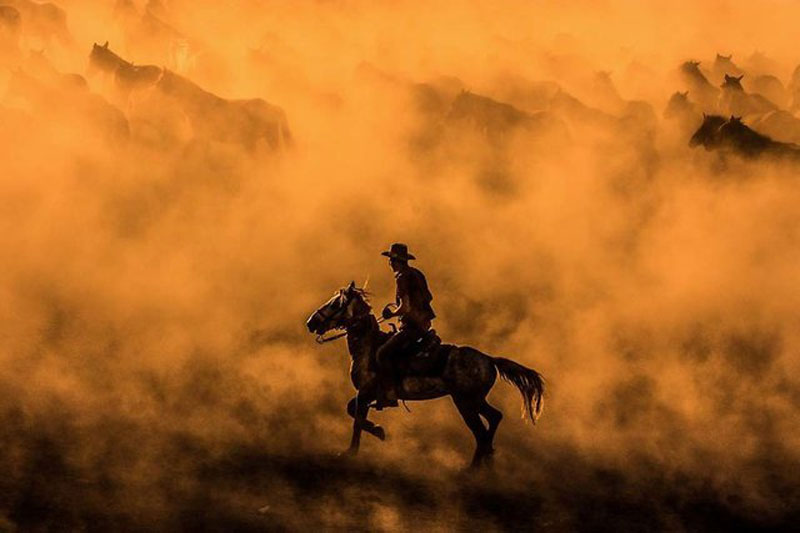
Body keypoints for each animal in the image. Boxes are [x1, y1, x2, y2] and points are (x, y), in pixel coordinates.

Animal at [306, 280, 544, 468]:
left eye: (335, 304)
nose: (311, 323)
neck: (369, 346)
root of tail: (489, 359)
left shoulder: (365, 393)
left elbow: (356, 419)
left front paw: (355, 448)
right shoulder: (367, 394)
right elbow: (352, 412)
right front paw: (372, 434)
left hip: (465, 402)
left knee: (480, 431)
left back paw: (473, 469)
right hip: (475, 400)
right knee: (493, 419)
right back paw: (486, 460)